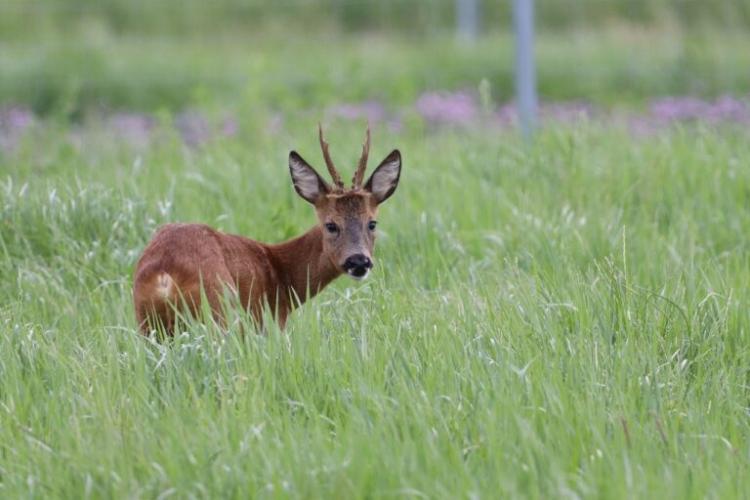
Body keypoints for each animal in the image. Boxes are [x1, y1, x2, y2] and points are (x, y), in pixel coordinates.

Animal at [135, 125, 406, 336]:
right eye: (331, 225)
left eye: (372, 223)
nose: (359, 261)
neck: (282, 274)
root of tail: (164, 276)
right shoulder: (270, 322)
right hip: (218, 310)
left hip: (147, 324)